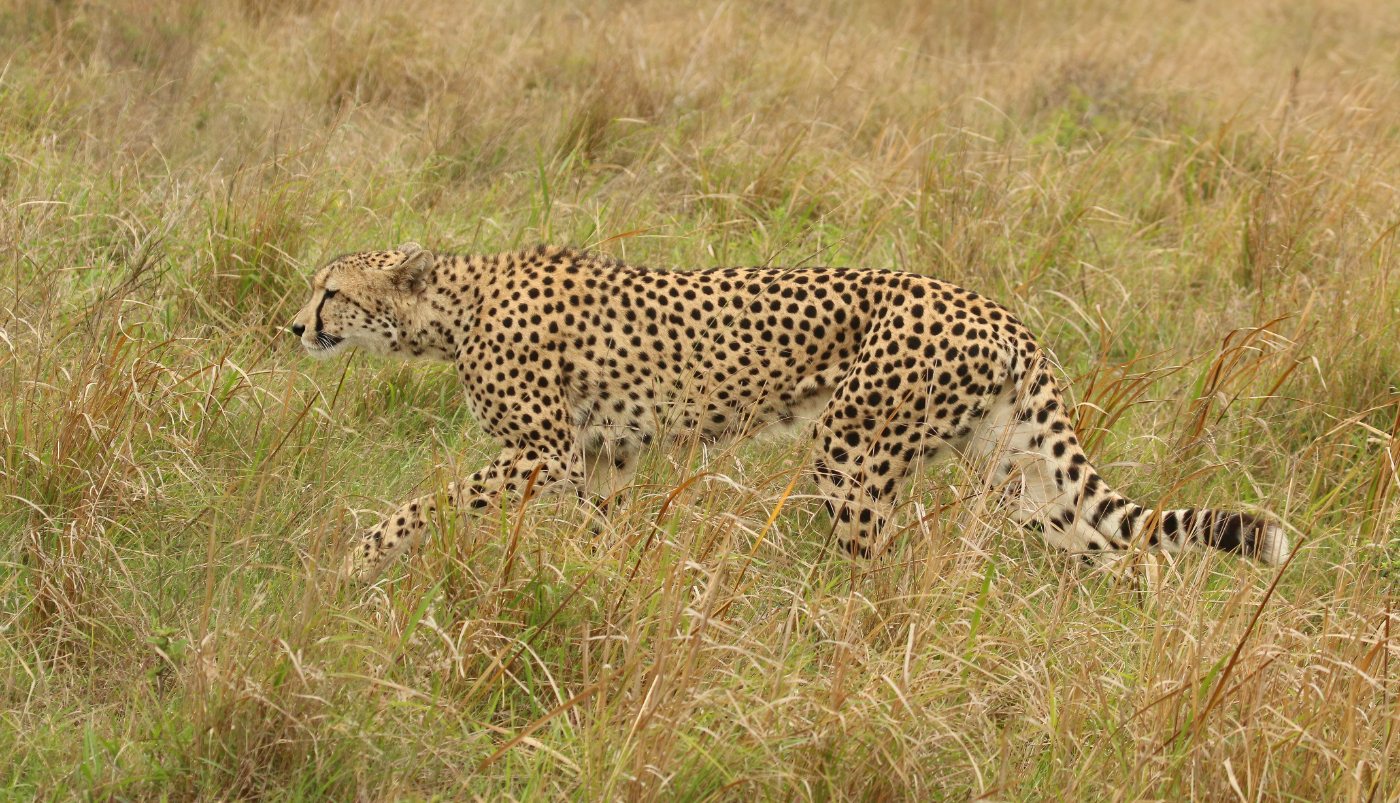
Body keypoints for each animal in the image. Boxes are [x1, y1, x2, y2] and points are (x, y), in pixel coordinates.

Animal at [290, 243, 1290, 583]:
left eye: (331, 288)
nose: (293, 323)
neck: (449, 309)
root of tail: (998, 310)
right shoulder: (604, 459)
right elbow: (603, 537)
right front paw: (598, 594)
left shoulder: (549, 452)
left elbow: (422, 504)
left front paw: (352, 562)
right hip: (1024, 477)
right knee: (1127, 554)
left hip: (852, 451)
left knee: (877, 576)